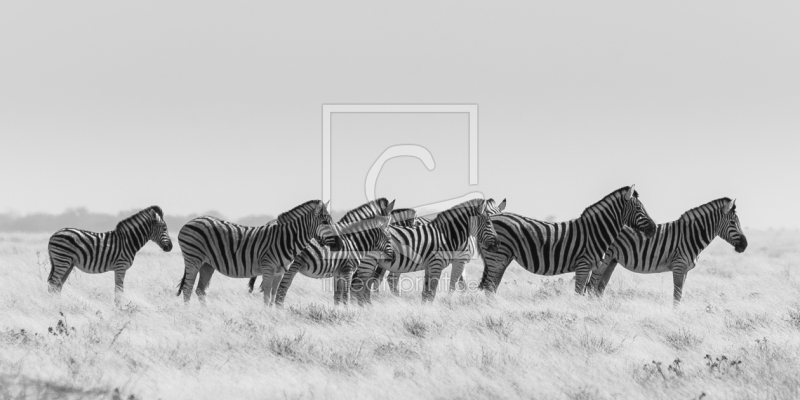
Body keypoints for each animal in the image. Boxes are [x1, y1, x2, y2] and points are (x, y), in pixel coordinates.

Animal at [175, 198, 338, 304]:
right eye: (325, 222)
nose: (338, 244)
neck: (286, 239)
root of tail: (191, 221)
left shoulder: (279, 272)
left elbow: (274, 295)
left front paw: (273, 316)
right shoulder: (268, 268)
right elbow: (267, 295)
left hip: (207, 264)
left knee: (200, 290)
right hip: (193, 259)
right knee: (188, 289)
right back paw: (188, 315)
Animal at [248, 198, 396, 304]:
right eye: (389, 227)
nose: (393, 257)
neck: (354, 239)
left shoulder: (339, 272)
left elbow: (338, 296)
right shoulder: (348, 270)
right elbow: (347, 295)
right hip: (291, 266)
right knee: (281, 290)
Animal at [352, 197, 496, 304]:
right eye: (489, 222)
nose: (496, 243)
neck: (447, 235)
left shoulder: (430, 265)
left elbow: (426, 291)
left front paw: (424, 309)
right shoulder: (444, 263)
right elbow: (438, 289)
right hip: (370, 261)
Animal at [476, 186, 656, 296]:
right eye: (639, 208)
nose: (654, 229)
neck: (595, 231)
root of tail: (491, 218)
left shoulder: (588, 267)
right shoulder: (583, 265)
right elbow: (578, 294)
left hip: (502, 258)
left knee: (492, 287)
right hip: (498, 256)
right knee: (489, 288)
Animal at [584, 196, 748, 304]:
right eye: (732, 222)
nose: (745, 245)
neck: (691, 235)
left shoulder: (686, 270)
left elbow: (680, 294)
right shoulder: (679, 266)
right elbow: (677, 295)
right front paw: (676, 317)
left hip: (612, 260)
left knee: (599, 288)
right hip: (605, 258)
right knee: (591, 285)